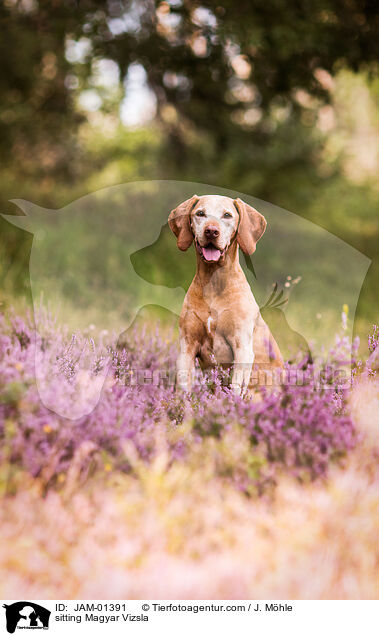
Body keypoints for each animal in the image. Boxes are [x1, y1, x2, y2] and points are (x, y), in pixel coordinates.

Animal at [168, 194, 284, 392]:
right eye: (200, 213)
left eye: (227, 215)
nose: (211, 231)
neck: (214, 282)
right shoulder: (186, 348)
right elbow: (183, 392)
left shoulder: (242, 349)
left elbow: (236, 389)